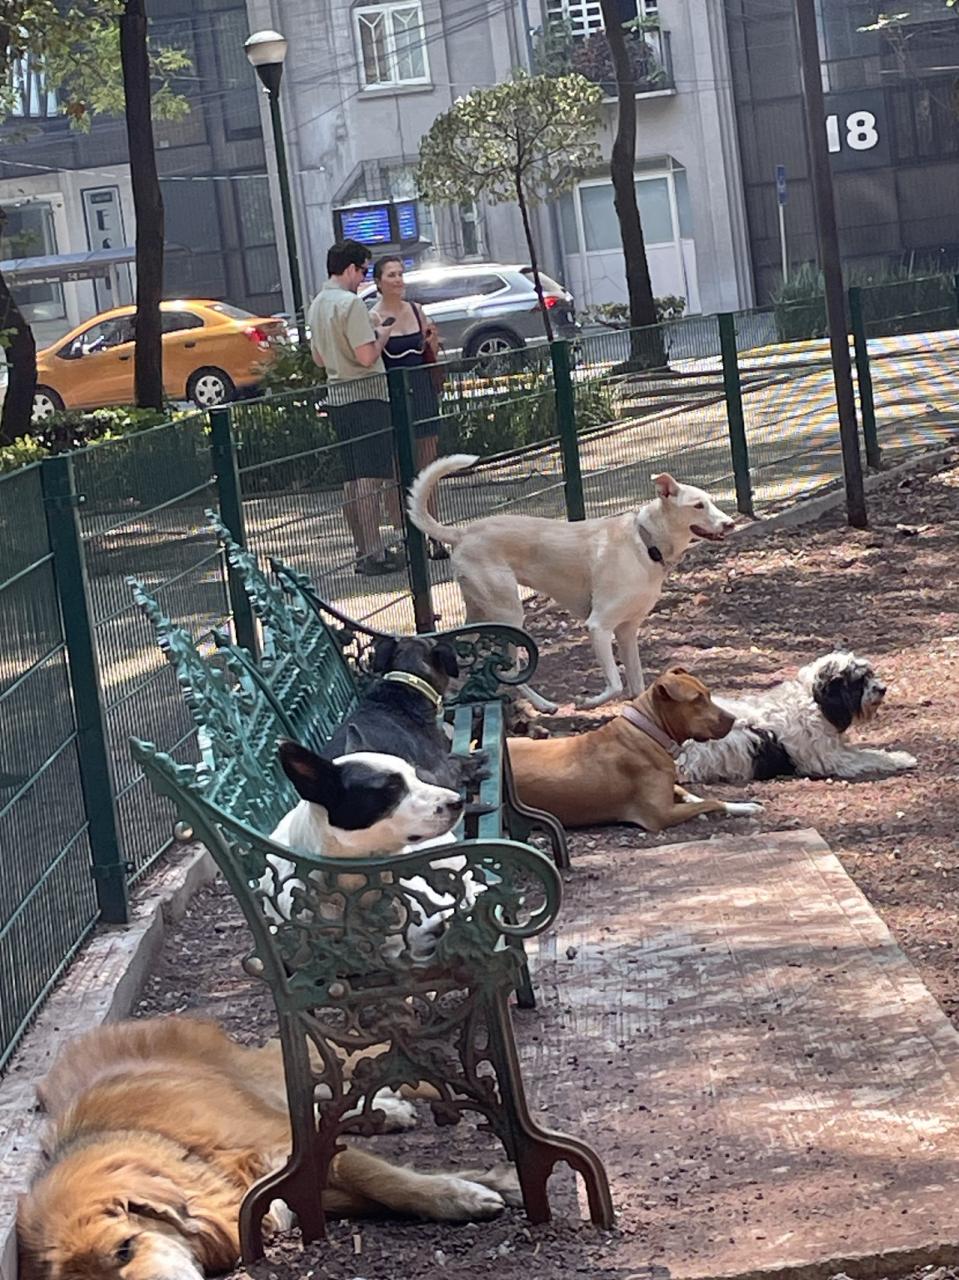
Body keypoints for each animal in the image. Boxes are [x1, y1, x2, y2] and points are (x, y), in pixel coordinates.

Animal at [17, 1016, 521, 1280]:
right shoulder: (304, 1190)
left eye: (125, 1248)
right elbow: (382, 1191)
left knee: (352, 1071)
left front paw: (466, 1193)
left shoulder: (285, 1147)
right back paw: (388, 1110)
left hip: (272, 1074)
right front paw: (483, 1184)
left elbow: (385, 1180)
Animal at [408, 455, 735, 713]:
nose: (730, 523)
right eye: (698, 505)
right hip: (509, 616)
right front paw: (589, 703)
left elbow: (636, 682)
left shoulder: (627, 631)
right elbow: (615, 684)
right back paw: (543, 705)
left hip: (481, 615)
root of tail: (461, 533)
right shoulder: (598, 626)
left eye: (711, 502)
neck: (645, 542)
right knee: (512, 670)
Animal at [507, 666, 763, 832]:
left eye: (708, 694)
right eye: (697, 699)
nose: (733, 718)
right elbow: (711, 802)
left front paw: (743, 805)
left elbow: (692, 794)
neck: (649, 730)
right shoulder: (661, 814)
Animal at [678, 651, 919, 784]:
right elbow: (872, 756)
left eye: (870, 674)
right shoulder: (833, 759)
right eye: (859, 680)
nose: (883, 689)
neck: (815, 701)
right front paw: (901, 758)